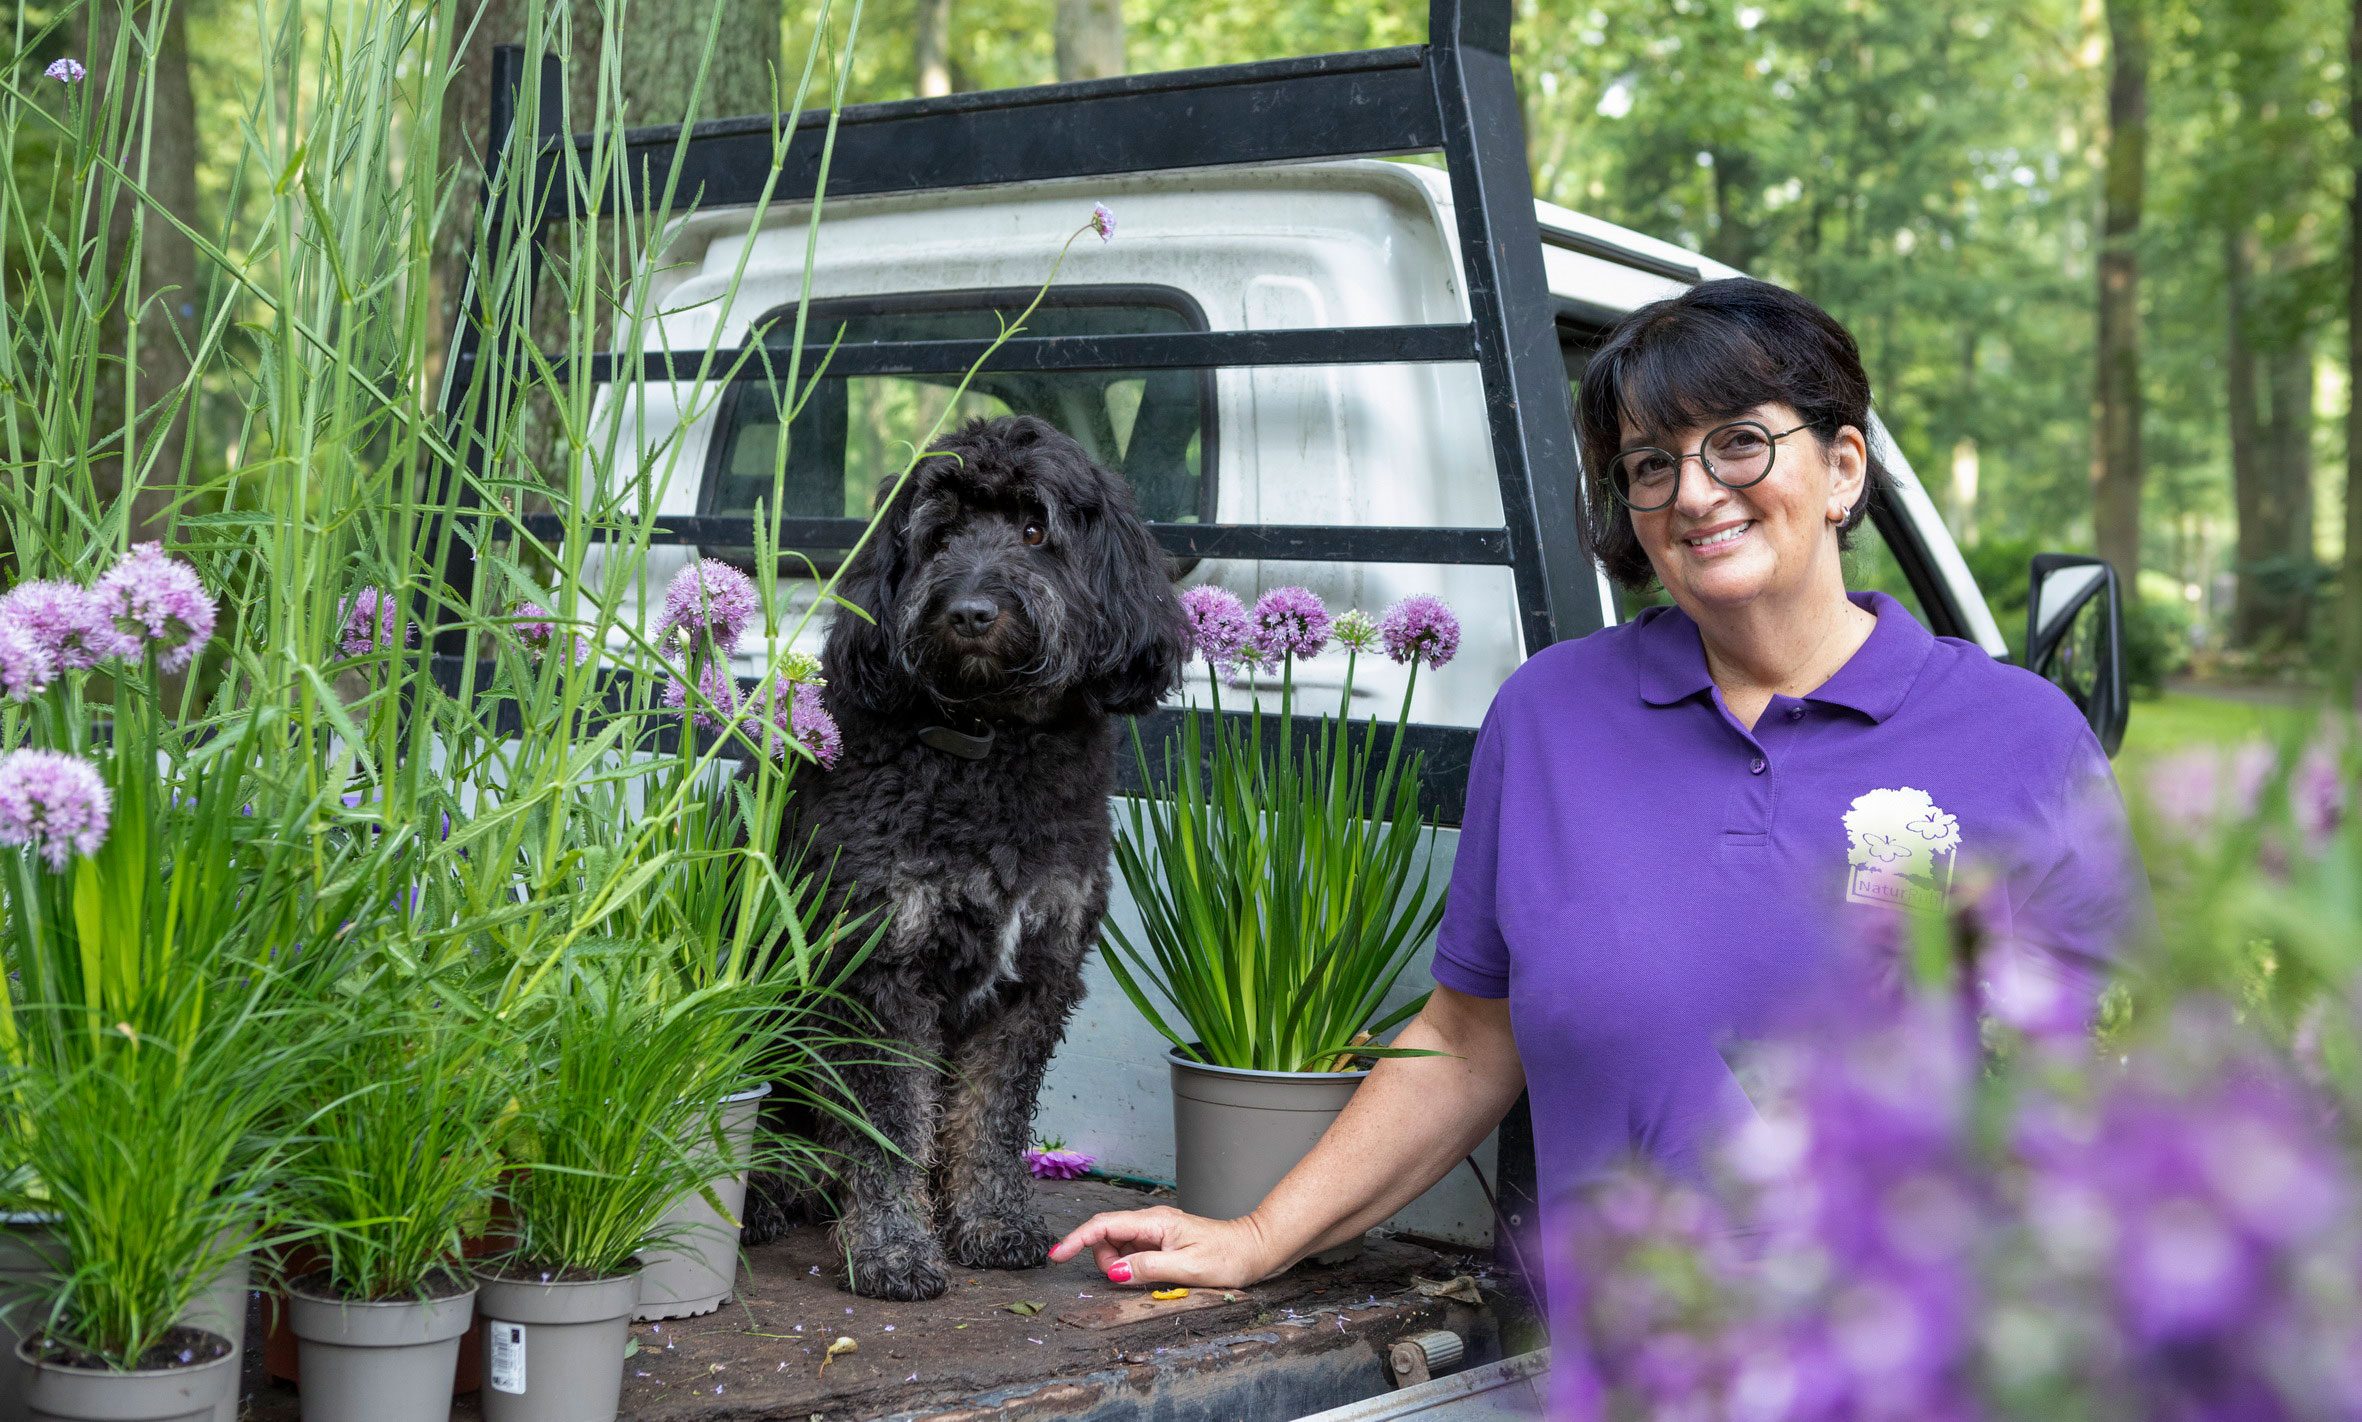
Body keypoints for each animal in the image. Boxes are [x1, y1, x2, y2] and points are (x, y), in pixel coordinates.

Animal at [765, 408, 1190, 1294]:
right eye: (939, 536)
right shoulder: (876, 971)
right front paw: (893, 1248)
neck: (989, 746)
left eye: (1035, 529)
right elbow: (889, 1123)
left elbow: (990, 1114)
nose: (968, 611)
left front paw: (990, 1221)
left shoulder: (1035, 972)